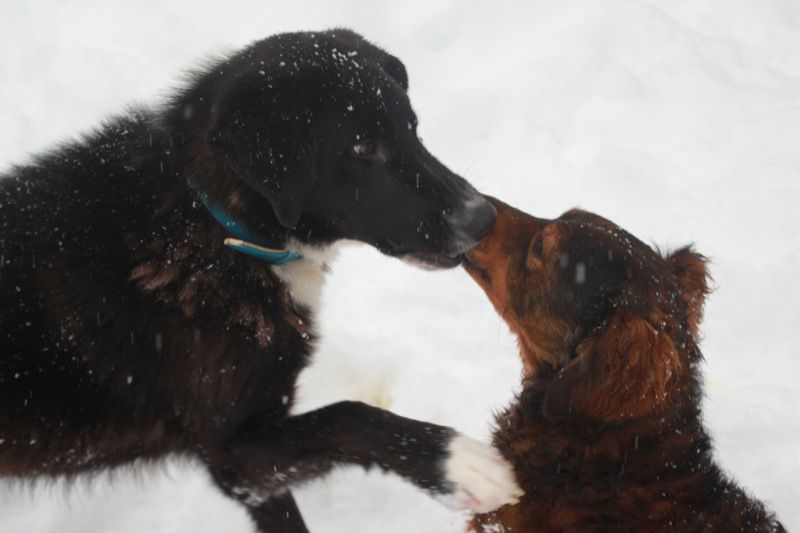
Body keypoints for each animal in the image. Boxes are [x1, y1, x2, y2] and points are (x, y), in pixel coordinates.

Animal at [0, 30, 520, 532]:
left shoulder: (253, 472)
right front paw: (456, 463)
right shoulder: (233, 455)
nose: (484, 219)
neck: (214, 221)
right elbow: (347, 414)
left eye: (413, 128)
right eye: (363, 148)